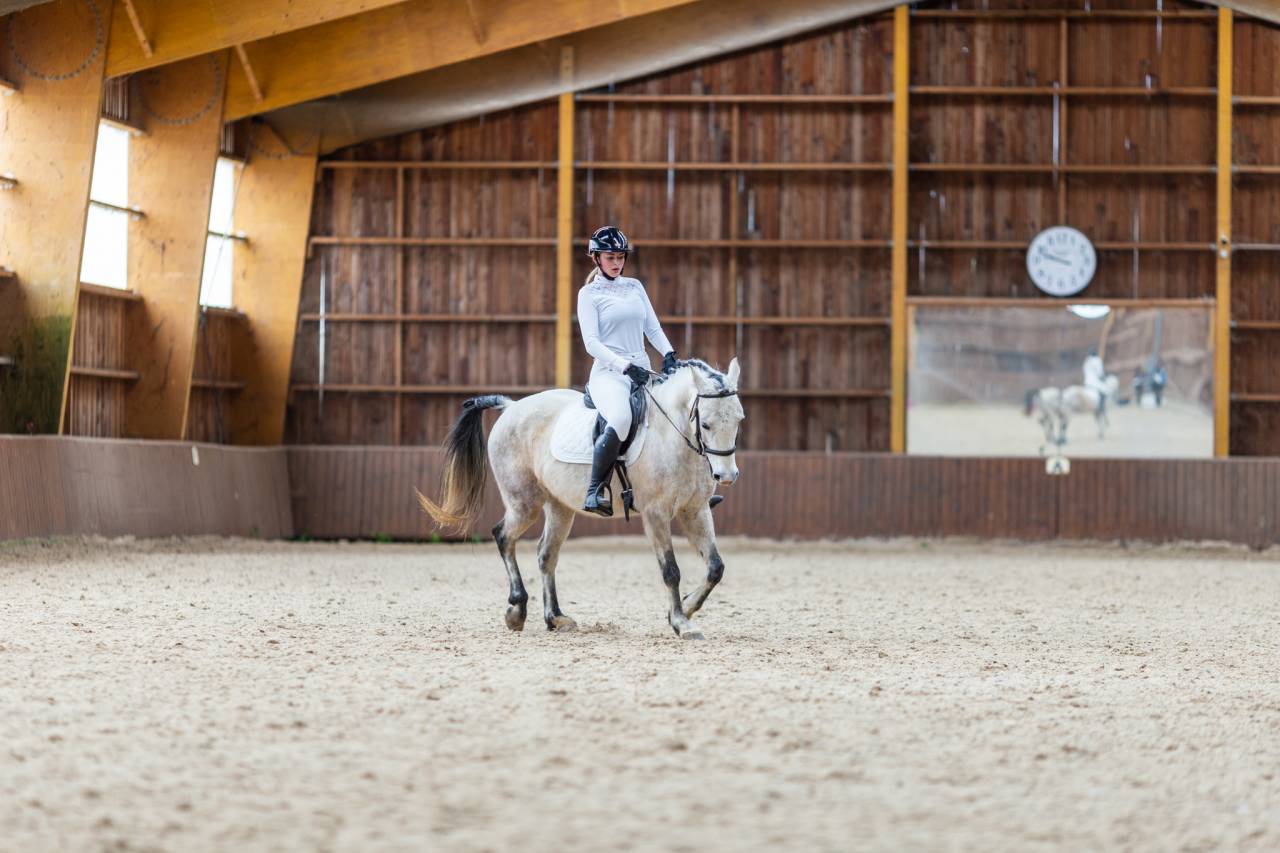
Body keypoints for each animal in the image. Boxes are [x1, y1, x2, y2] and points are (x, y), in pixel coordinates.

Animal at [417, 358, 745, 640]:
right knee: (503, 536)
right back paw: (516, 610)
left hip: (560, 507)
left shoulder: (695, 510)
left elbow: (716, 567)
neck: (673, 436)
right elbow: (671, 571)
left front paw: (687, 608)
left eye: (739, 420)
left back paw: (555, 618)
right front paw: (680, 622)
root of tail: (511, 407)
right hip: (524, 503)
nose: (727, 476)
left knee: (546, 554)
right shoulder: (656, 514)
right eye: (706, 424)